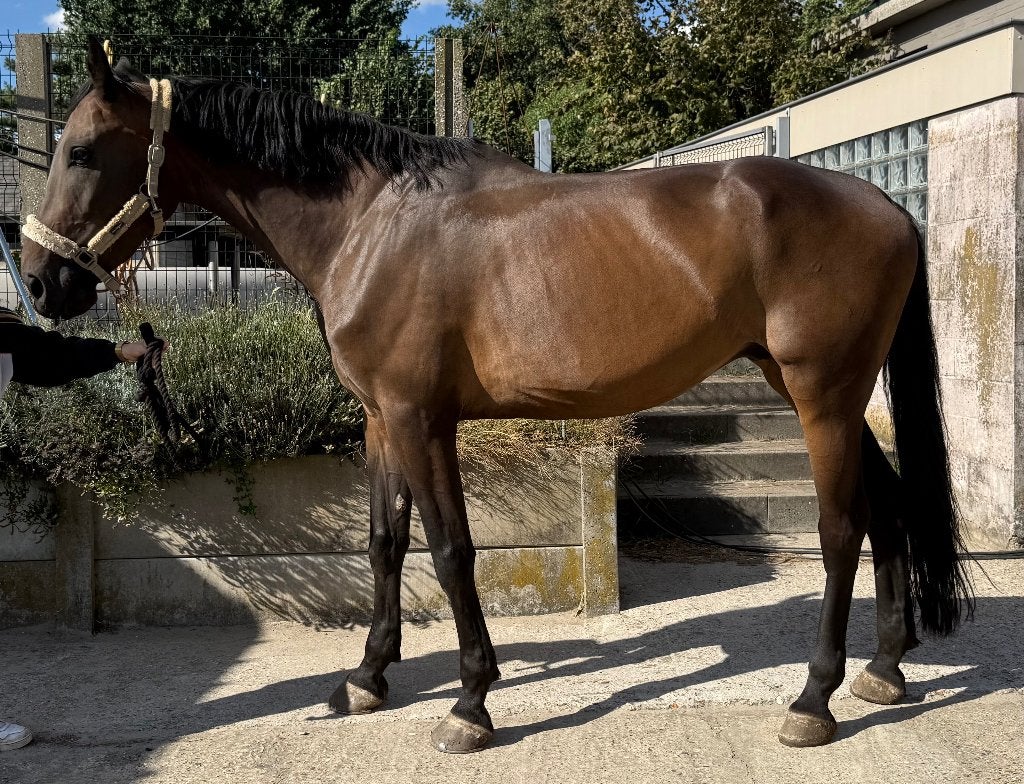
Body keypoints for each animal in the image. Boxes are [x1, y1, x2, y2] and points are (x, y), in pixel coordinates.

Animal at [21, 39, 973, 752]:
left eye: (81, 150)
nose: (36, 281)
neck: (372, 222)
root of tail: (890, 206)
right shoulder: (380, 420)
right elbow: (384, 545)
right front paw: (365, 679)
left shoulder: (421, 420)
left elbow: (450, 552)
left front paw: (470, 703)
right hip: (828, 398)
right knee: (890, 510)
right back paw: (886, 670)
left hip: (822, 397)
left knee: (843, 529)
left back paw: (815, 699)